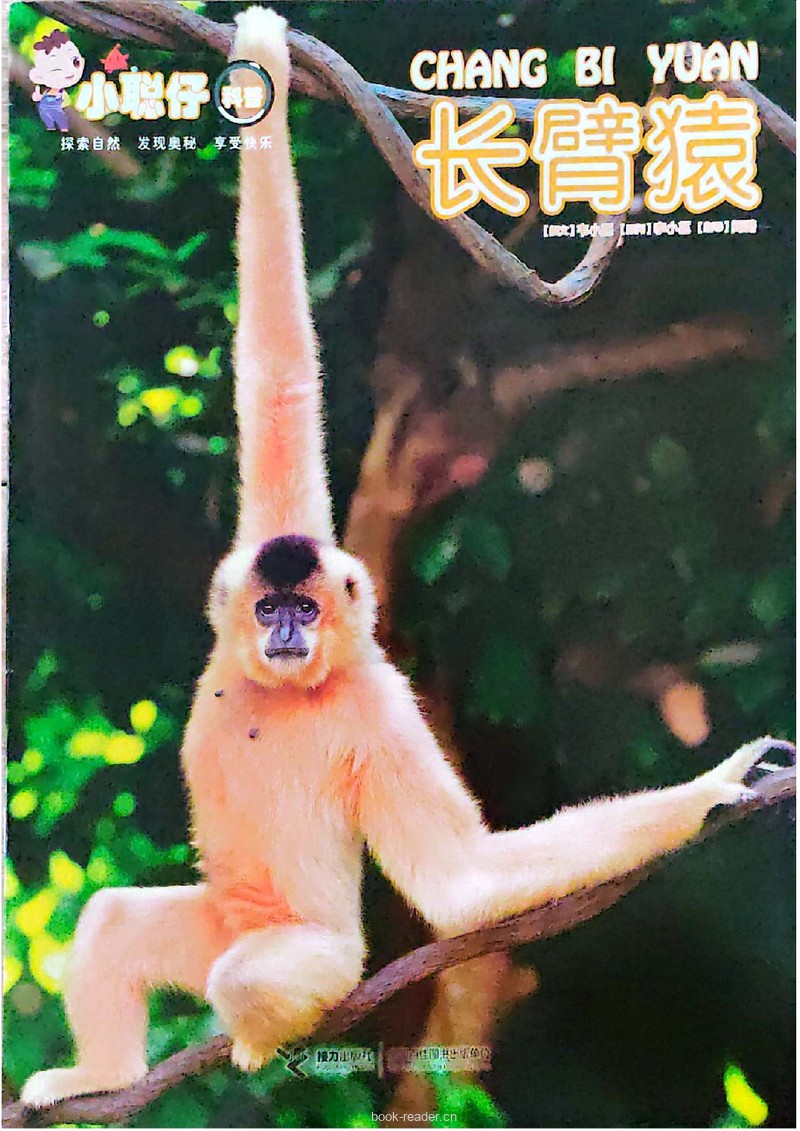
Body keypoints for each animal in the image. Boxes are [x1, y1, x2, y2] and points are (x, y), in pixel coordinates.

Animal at [20, 7, 790, 1107]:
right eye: (269, 609)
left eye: (304, 612)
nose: (287, 628)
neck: (293, 690)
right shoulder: (254, 557)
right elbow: (272, 378)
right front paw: (262, 56)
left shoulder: (379, 700)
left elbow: (460, 881)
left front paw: (710, 790)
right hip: (219, 913)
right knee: (119, 920)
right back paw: (102, 1073)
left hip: (319, 954)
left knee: (250, 974)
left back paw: (258, 1039)